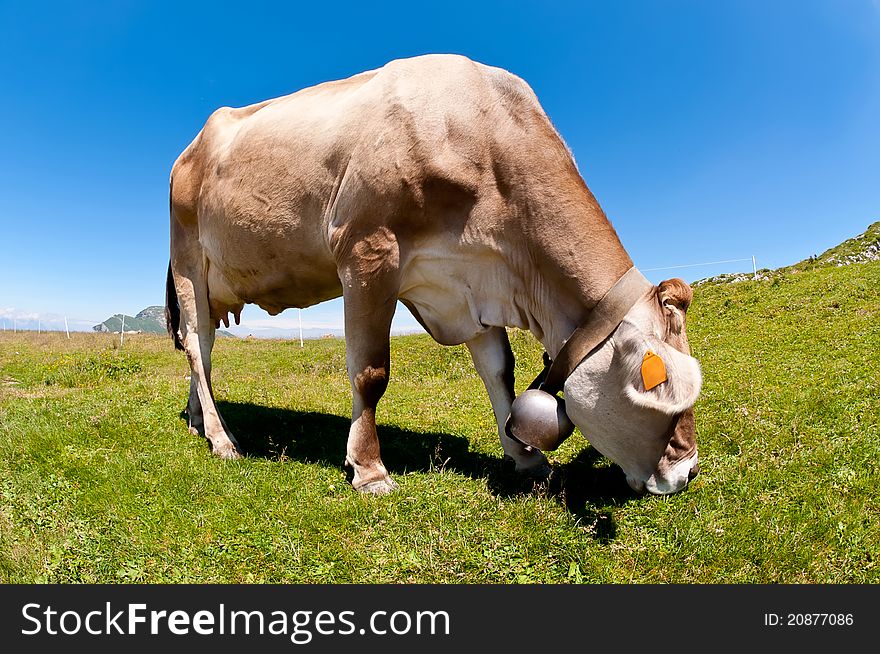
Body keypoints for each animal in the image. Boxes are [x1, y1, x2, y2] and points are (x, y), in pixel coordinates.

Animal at [163, 55, 700, 498]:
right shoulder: (368, 250)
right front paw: (370, 469)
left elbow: (499, 369)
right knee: (197, 347)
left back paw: (198, 420)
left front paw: (525, 457)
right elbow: (370, 372)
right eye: (662, 387)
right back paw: (222, 439)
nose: (689, 470)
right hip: (189, 261)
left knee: (199, 347)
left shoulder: (466, 284)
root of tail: (190, 148)